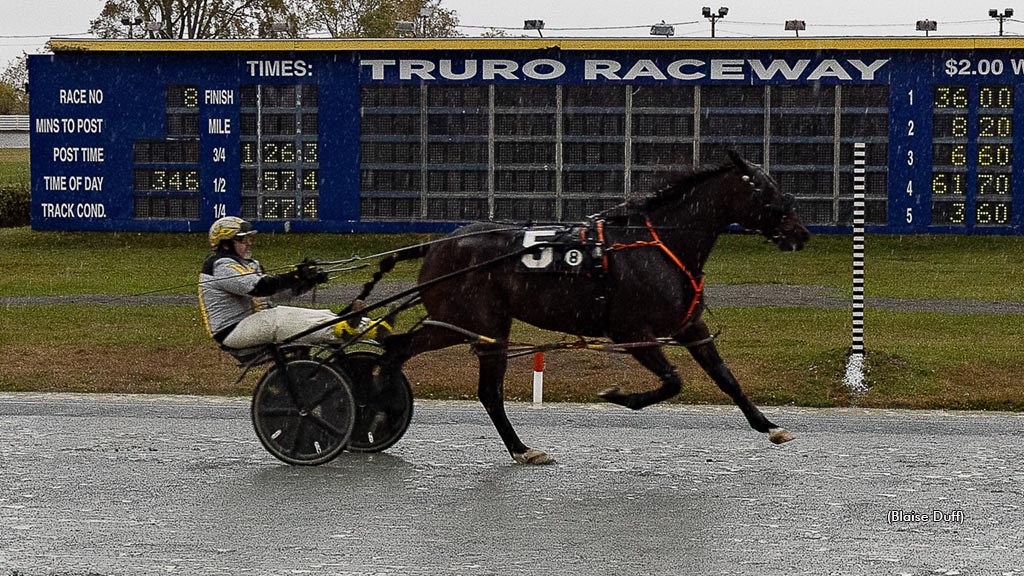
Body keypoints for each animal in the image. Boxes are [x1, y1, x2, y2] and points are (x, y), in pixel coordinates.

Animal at [360, 151, 806, 461]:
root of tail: (440, 244)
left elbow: (725, 378)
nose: (800, 233)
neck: (658, 244)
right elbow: (672, 381)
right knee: (414, 357)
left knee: (457, 376)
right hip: (468, 320)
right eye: (764, 189)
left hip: (479, 326)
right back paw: (377, 410)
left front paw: (769, 426)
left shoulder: (688, 326)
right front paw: (619, 396)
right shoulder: (631, 331)